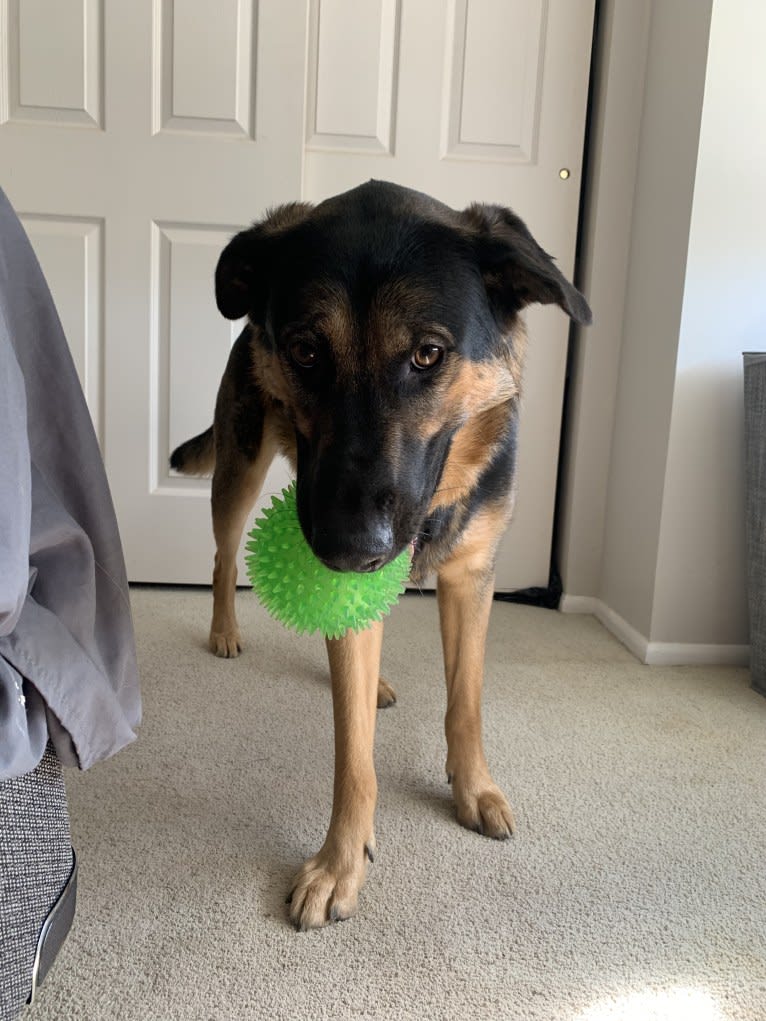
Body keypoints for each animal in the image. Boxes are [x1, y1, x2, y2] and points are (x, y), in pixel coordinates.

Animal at [172, 179, 592, 931]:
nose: (349, 549)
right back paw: (225, 630)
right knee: (224, 557)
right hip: (240, 470)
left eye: (427, 355)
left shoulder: (471, 578)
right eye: (306, 350)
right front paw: (340, 862)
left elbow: (466, 700)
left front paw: (473, 787)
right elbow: (354, 755)